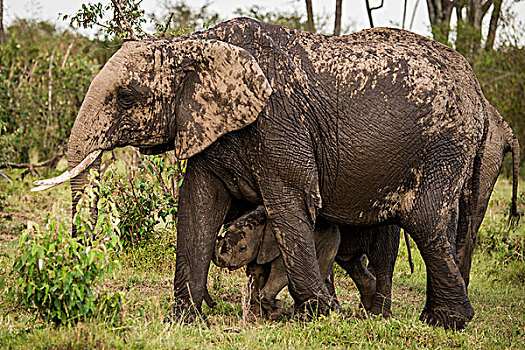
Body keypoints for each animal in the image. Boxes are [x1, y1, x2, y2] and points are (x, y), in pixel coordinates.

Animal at [213, 205, 402, 320]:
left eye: (243, 248)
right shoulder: (261, 248)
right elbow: (255, 273)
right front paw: (259, 316)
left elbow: (281, 273)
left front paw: (275, 310)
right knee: (350, 263)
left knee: (381, 262)